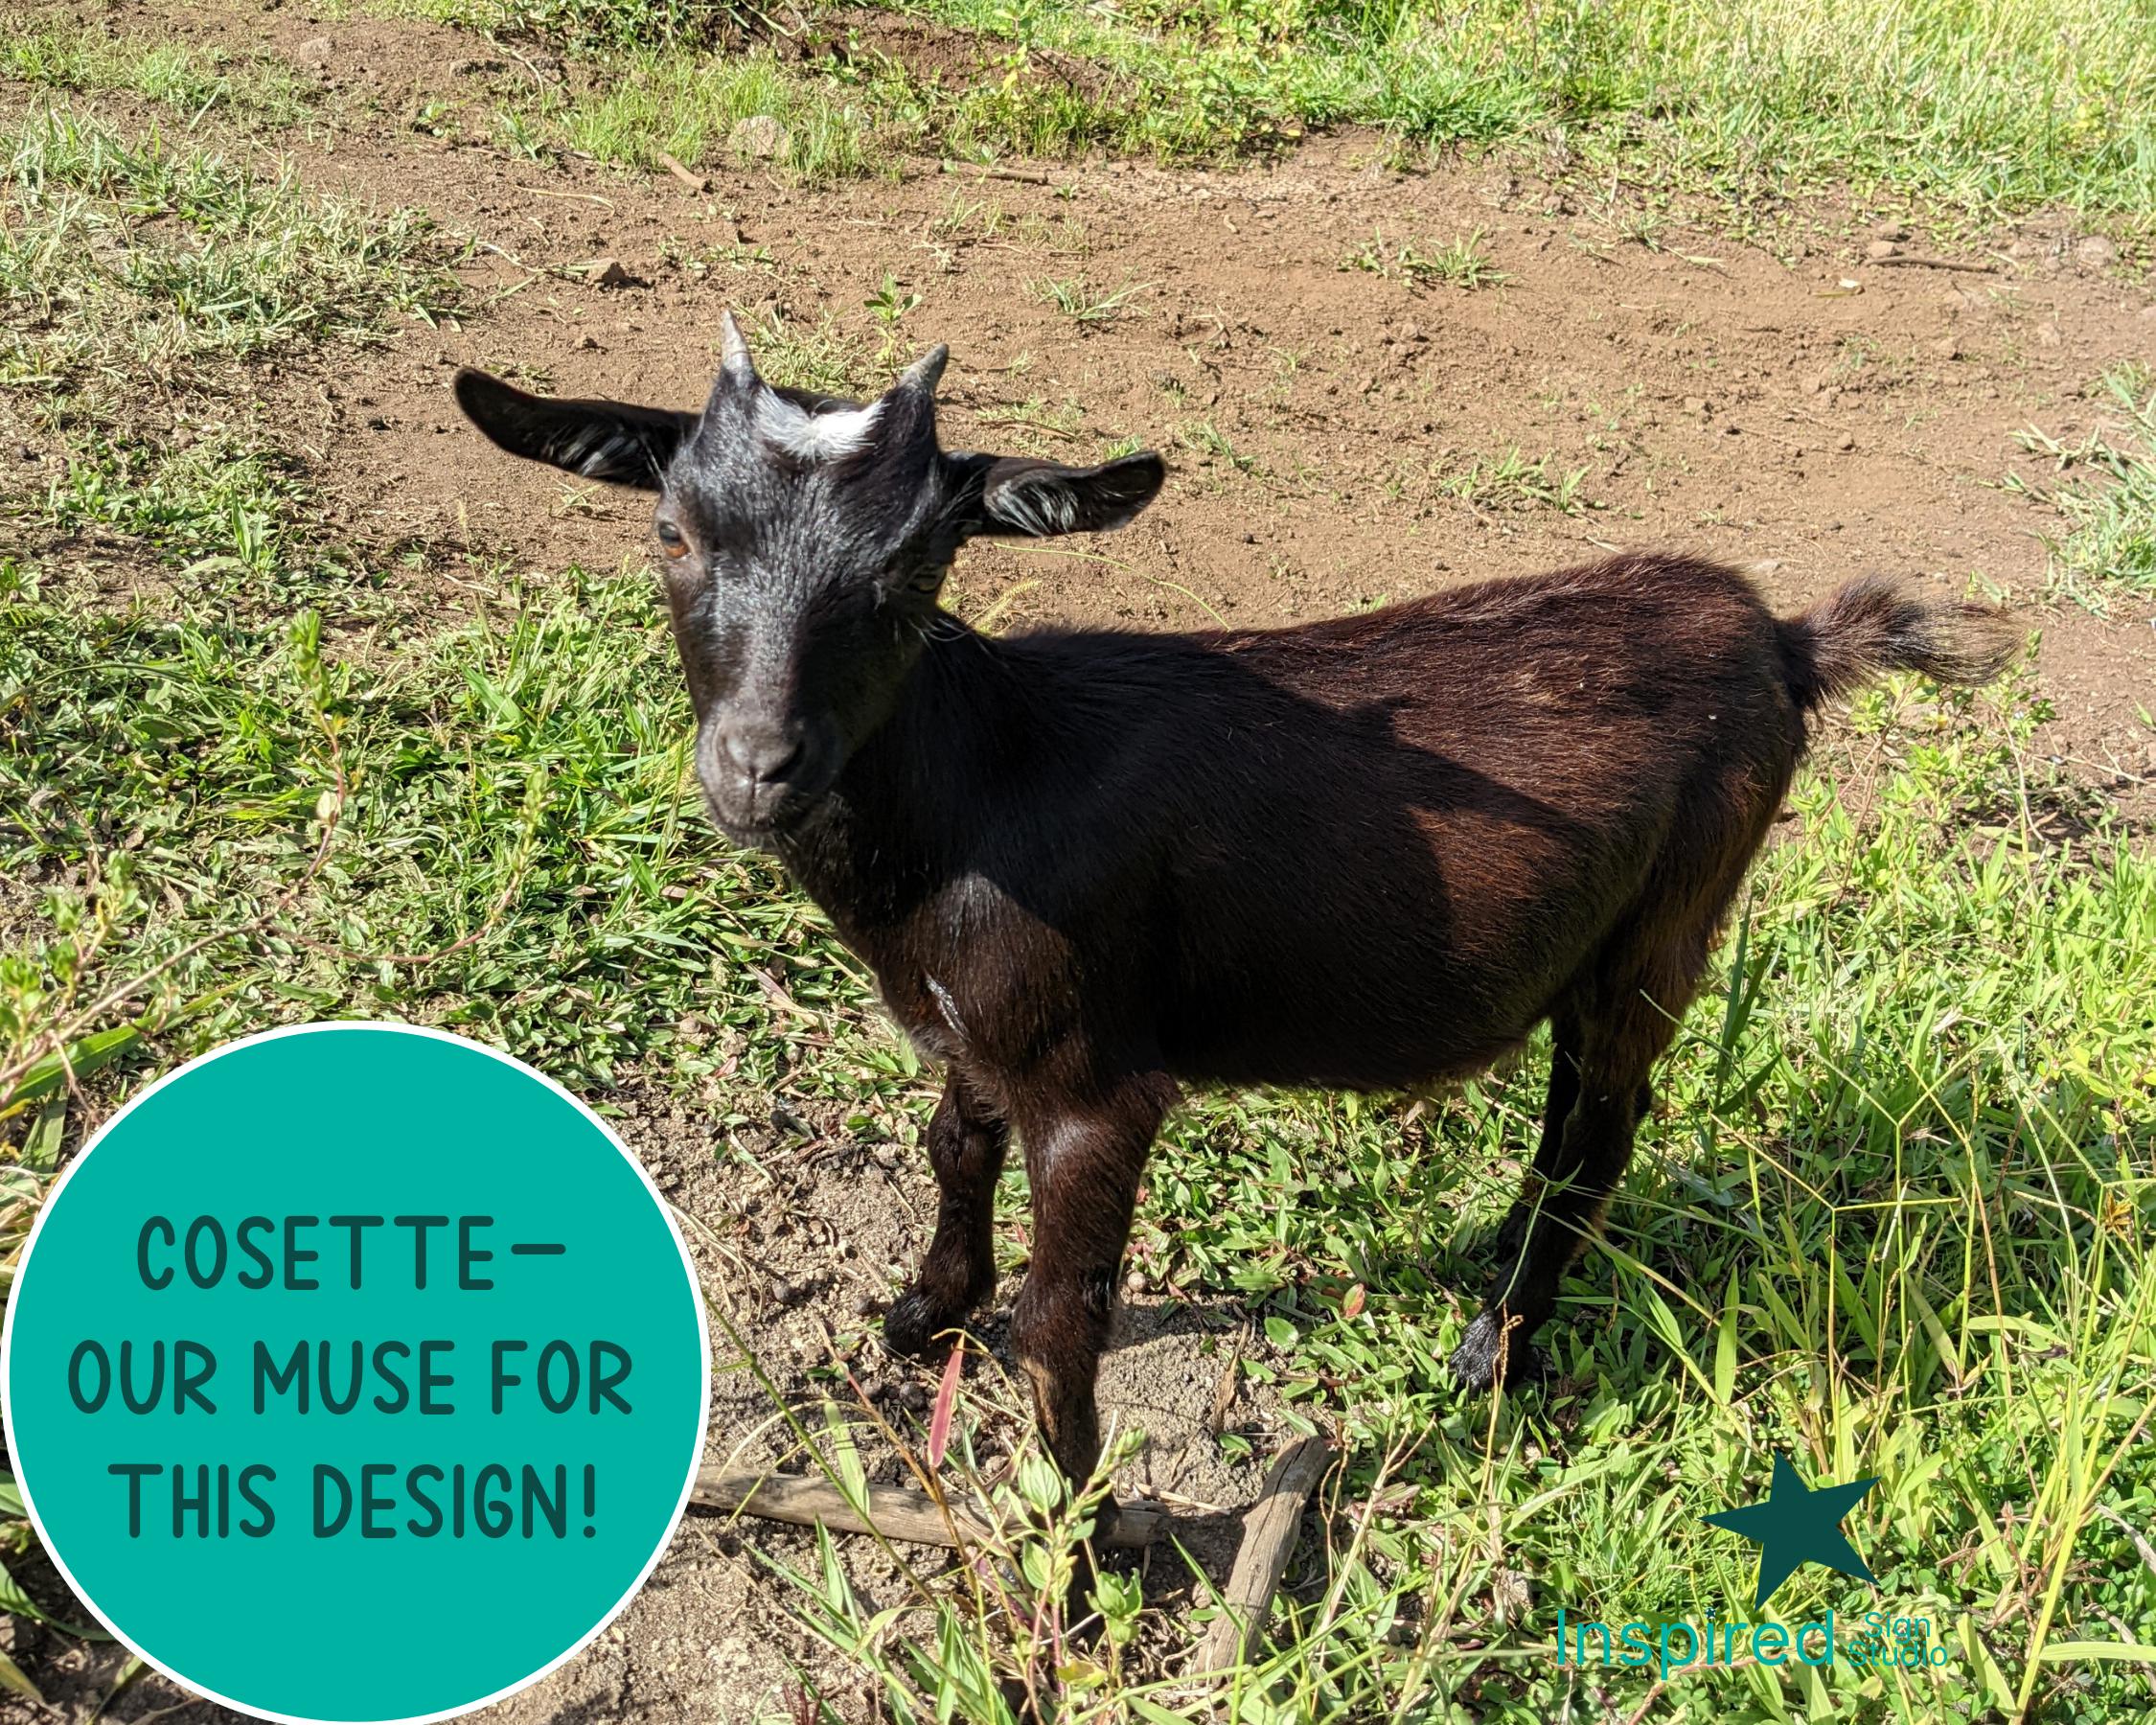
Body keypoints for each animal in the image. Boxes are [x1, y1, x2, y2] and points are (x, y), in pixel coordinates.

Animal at [456, 315, 2015, 1529]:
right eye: (673, 530)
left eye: (912, 572)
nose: (756, 768)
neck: (980, 783)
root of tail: (1786, 642)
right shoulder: (974, 1018)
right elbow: (953, 1144)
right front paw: (922, 1310)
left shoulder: (1097, 1079)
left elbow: (1062, 1314)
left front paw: (1074, 1532)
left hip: (1669, 917)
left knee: (1602, 1123)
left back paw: (1494, 1349)